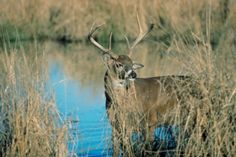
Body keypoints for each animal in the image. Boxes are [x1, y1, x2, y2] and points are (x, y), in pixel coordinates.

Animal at [87, 15, 200, 156]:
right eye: (119, 64)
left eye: (131, 63)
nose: (133, 73)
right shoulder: (116, 126)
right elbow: (117, 151)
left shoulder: (150, 121)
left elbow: (146, 149)